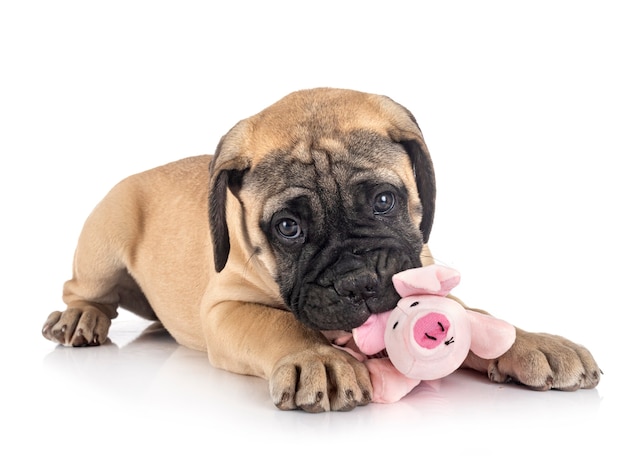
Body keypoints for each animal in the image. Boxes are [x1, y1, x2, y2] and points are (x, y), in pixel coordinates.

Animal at [41, 88, 596, 414]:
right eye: (287, 228)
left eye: (384, 201)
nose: (358, 283)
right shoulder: (226, 308)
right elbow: (282, 324)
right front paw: (320, 358)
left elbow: (470, 311)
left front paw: (532, 342)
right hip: (103, 241)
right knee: (83, 290)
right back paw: (80, 318)